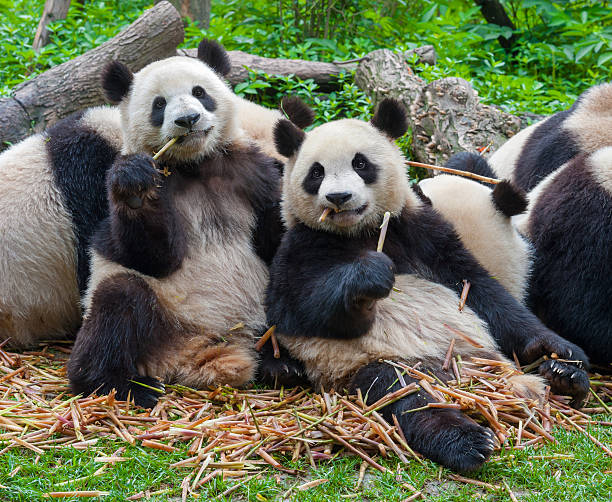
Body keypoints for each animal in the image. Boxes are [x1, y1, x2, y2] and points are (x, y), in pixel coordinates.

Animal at [68, 39, 292, 408]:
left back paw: (282, 363)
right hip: (158, 316)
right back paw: (123, 385)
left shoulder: (249, 171)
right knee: (118, 303)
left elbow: (275, 239)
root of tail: (195, 353)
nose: (188, 119)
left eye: (200, 92)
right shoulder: (159, 188)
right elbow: (151, 256)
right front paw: (134, 187)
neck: (195, 165)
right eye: (159, 104)